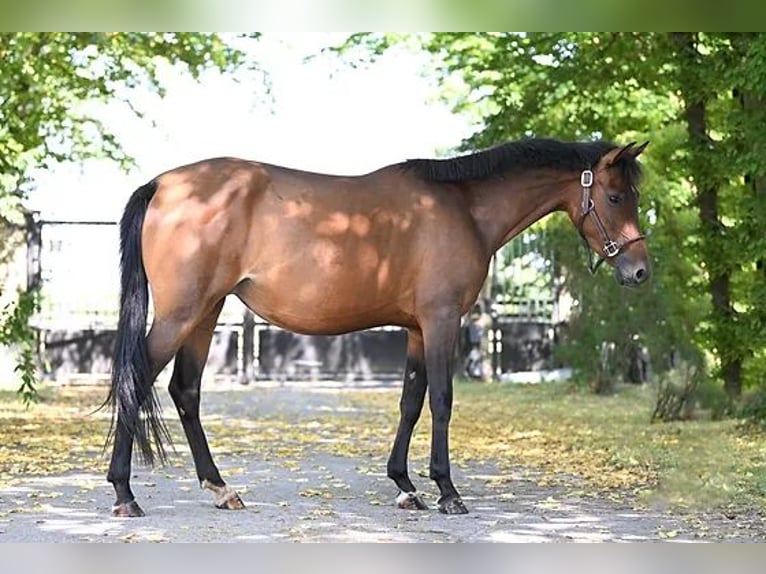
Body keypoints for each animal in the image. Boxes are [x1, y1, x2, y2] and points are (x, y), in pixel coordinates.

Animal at [105, 138, 652, 516]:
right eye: (615, 197)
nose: (640, 271)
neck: (463, 207)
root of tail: (163, 184)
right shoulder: (441, 321)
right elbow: (442, 400)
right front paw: (447, 491)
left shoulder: (416, 329)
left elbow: (410, 400)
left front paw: (406, 487)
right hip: (183, 312)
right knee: (138, 380)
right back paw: (125, 494)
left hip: (206, 310)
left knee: (185, 390)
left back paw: (221, 489)